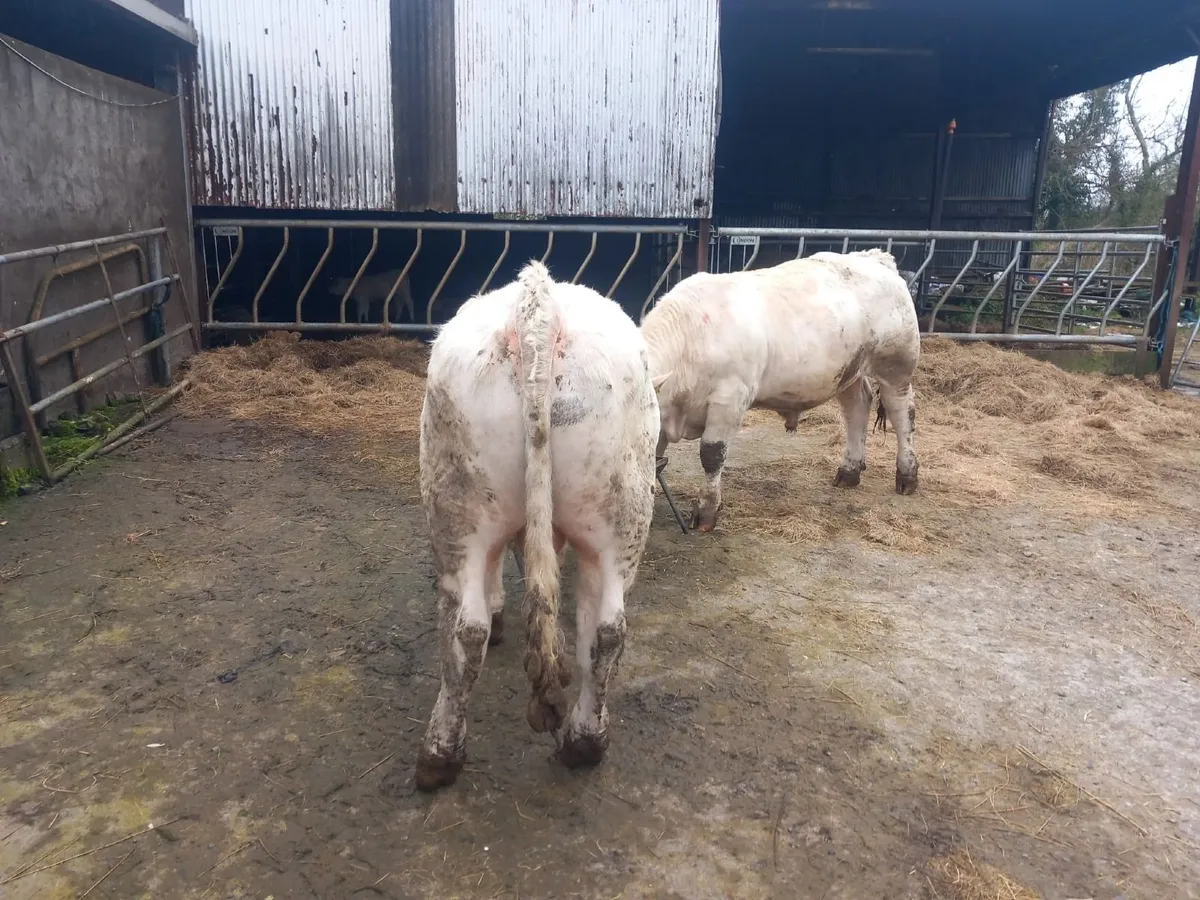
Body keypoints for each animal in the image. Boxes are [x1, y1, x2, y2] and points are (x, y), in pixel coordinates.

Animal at [414, 261, 661, 791]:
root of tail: (538, 303)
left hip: (458, 515)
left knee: (465, 629)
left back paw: (438, 755)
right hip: (619, 518)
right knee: (608, 630)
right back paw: (584, 742)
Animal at [641, 248, 921, 532]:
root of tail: (874, 257)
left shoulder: (730, 401)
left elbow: (711, 455)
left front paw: (706, 512)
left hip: (896, 367)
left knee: (902, 415)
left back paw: (907, 474)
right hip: (849, 373)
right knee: (857, 409)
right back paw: (849, 471)